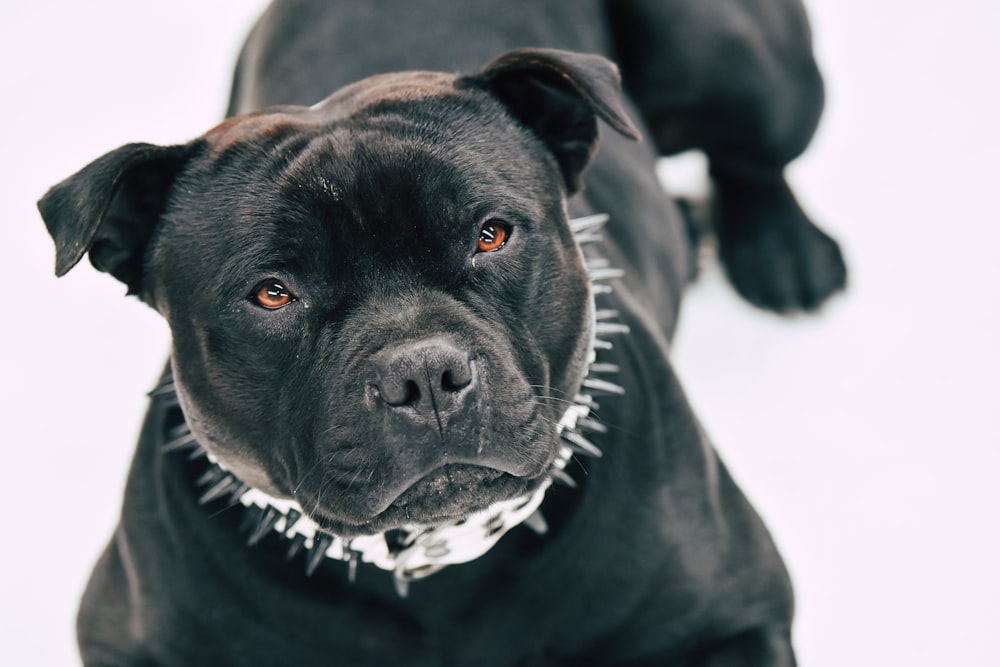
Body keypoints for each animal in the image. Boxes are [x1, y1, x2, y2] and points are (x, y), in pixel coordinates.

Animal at [43, 1, 848, 667]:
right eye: (272, 293)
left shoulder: (737, 617)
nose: (424, 375)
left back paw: (783, 250)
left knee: (754, 157)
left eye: (491, 235)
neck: (428, 565)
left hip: (741, 65)